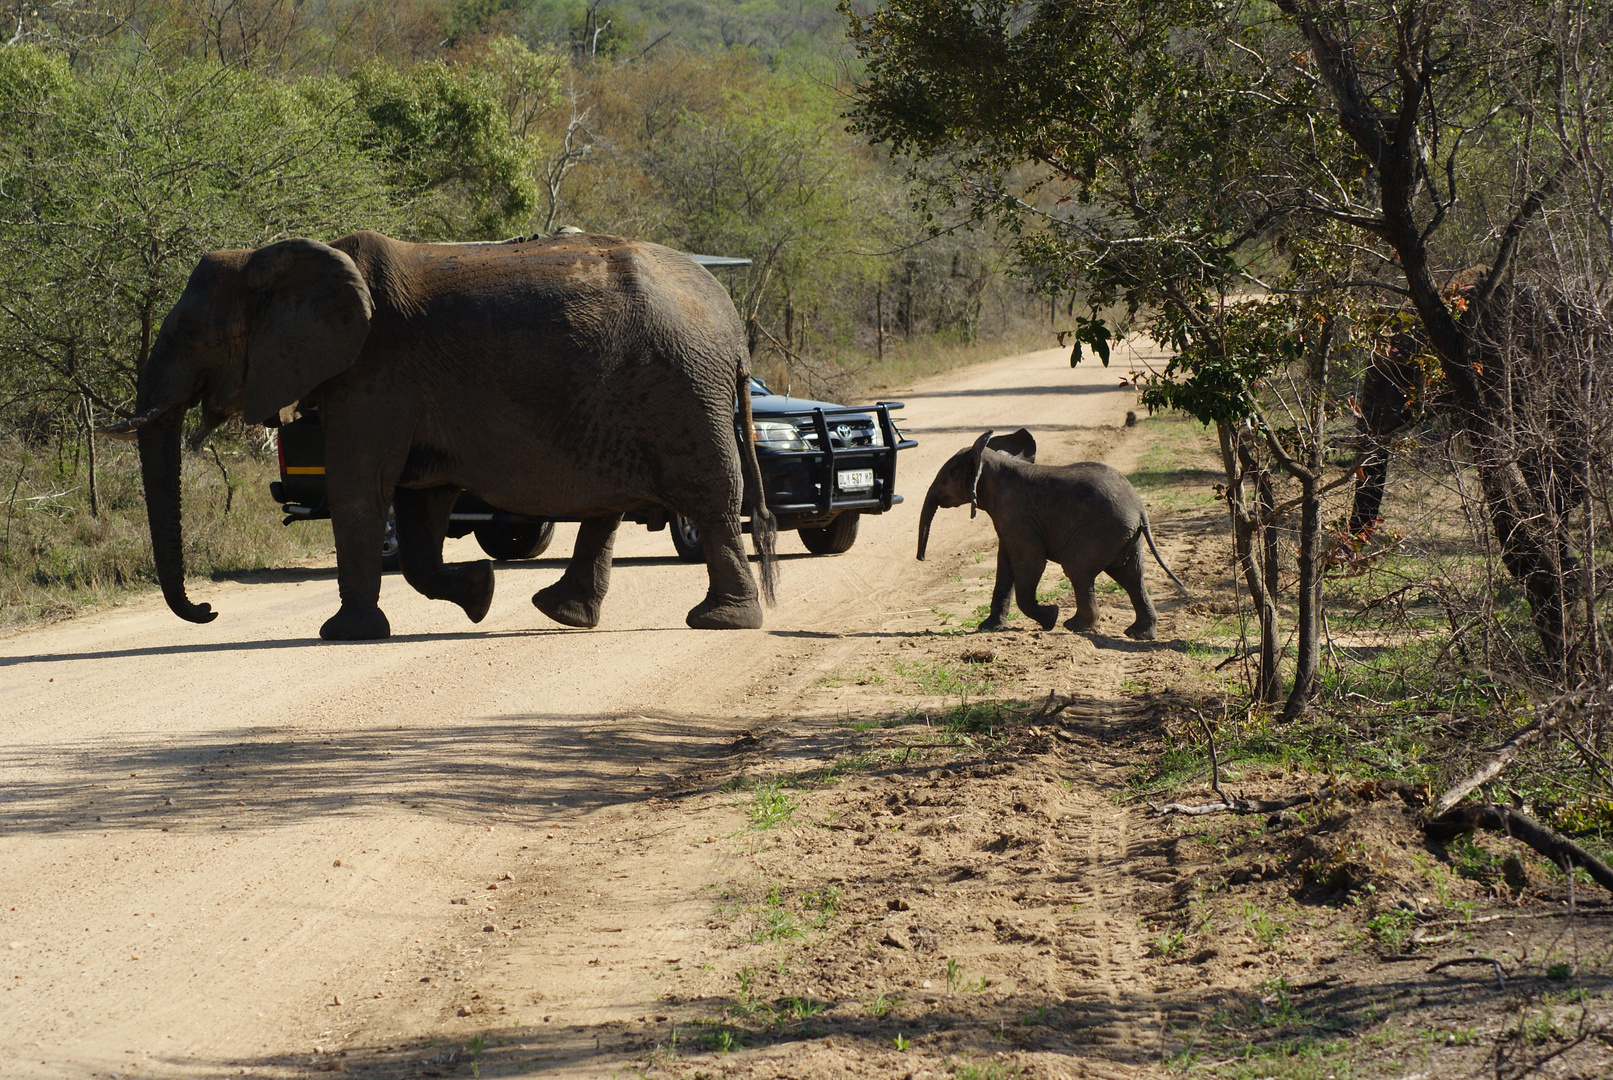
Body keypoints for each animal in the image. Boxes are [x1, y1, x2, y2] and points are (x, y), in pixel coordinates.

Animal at [102, 228, 780, 635]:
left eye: (195, 335)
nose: (207, 609)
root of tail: (734, 330)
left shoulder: (376, 372)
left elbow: (360, 489)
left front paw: (343, 636)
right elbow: (418, 506)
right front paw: (479, 595)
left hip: (681, 392)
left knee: (709, 501)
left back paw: (719, 622)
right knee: (610, 504)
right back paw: (562, 613)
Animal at [916, 428, 1193, 638]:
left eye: (945, 478)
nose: (921, 559)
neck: (991, 459)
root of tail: (1139, 508)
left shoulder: (1015, 514)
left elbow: (1031, 560)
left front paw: (1051, 618)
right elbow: (1005, 565)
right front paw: (989, 628)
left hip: (1103, 529)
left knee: (1078, 567)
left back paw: (1075, 627)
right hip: (1123, 535)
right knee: (1130, 575)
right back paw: (1137, 634)